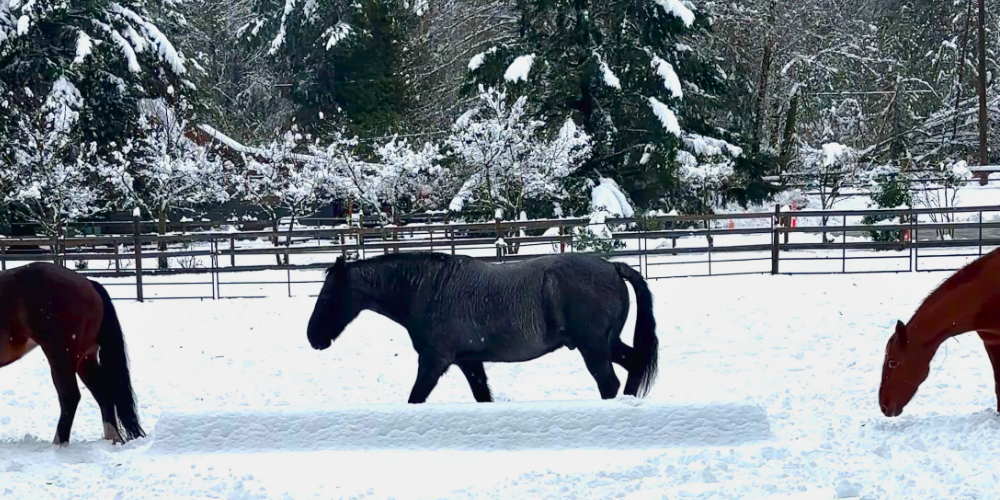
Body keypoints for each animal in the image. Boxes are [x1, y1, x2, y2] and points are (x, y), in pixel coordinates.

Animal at [0, 262, 145, 445]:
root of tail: (89, 283)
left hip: (61, 356)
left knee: (70, 397)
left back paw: (59, 444)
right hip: (85, 359)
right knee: (102, 392)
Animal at [307, 252, 659, 403]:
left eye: (327, 298)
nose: (313, 338)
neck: (429, 288)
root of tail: (613, 266)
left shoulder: (434, 362)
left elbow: (415, 397)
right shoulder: (469, 362)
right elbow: (482, 396)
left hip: (593, 348)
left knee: (609, 383)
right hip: (607, 344)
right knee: (633, 364)